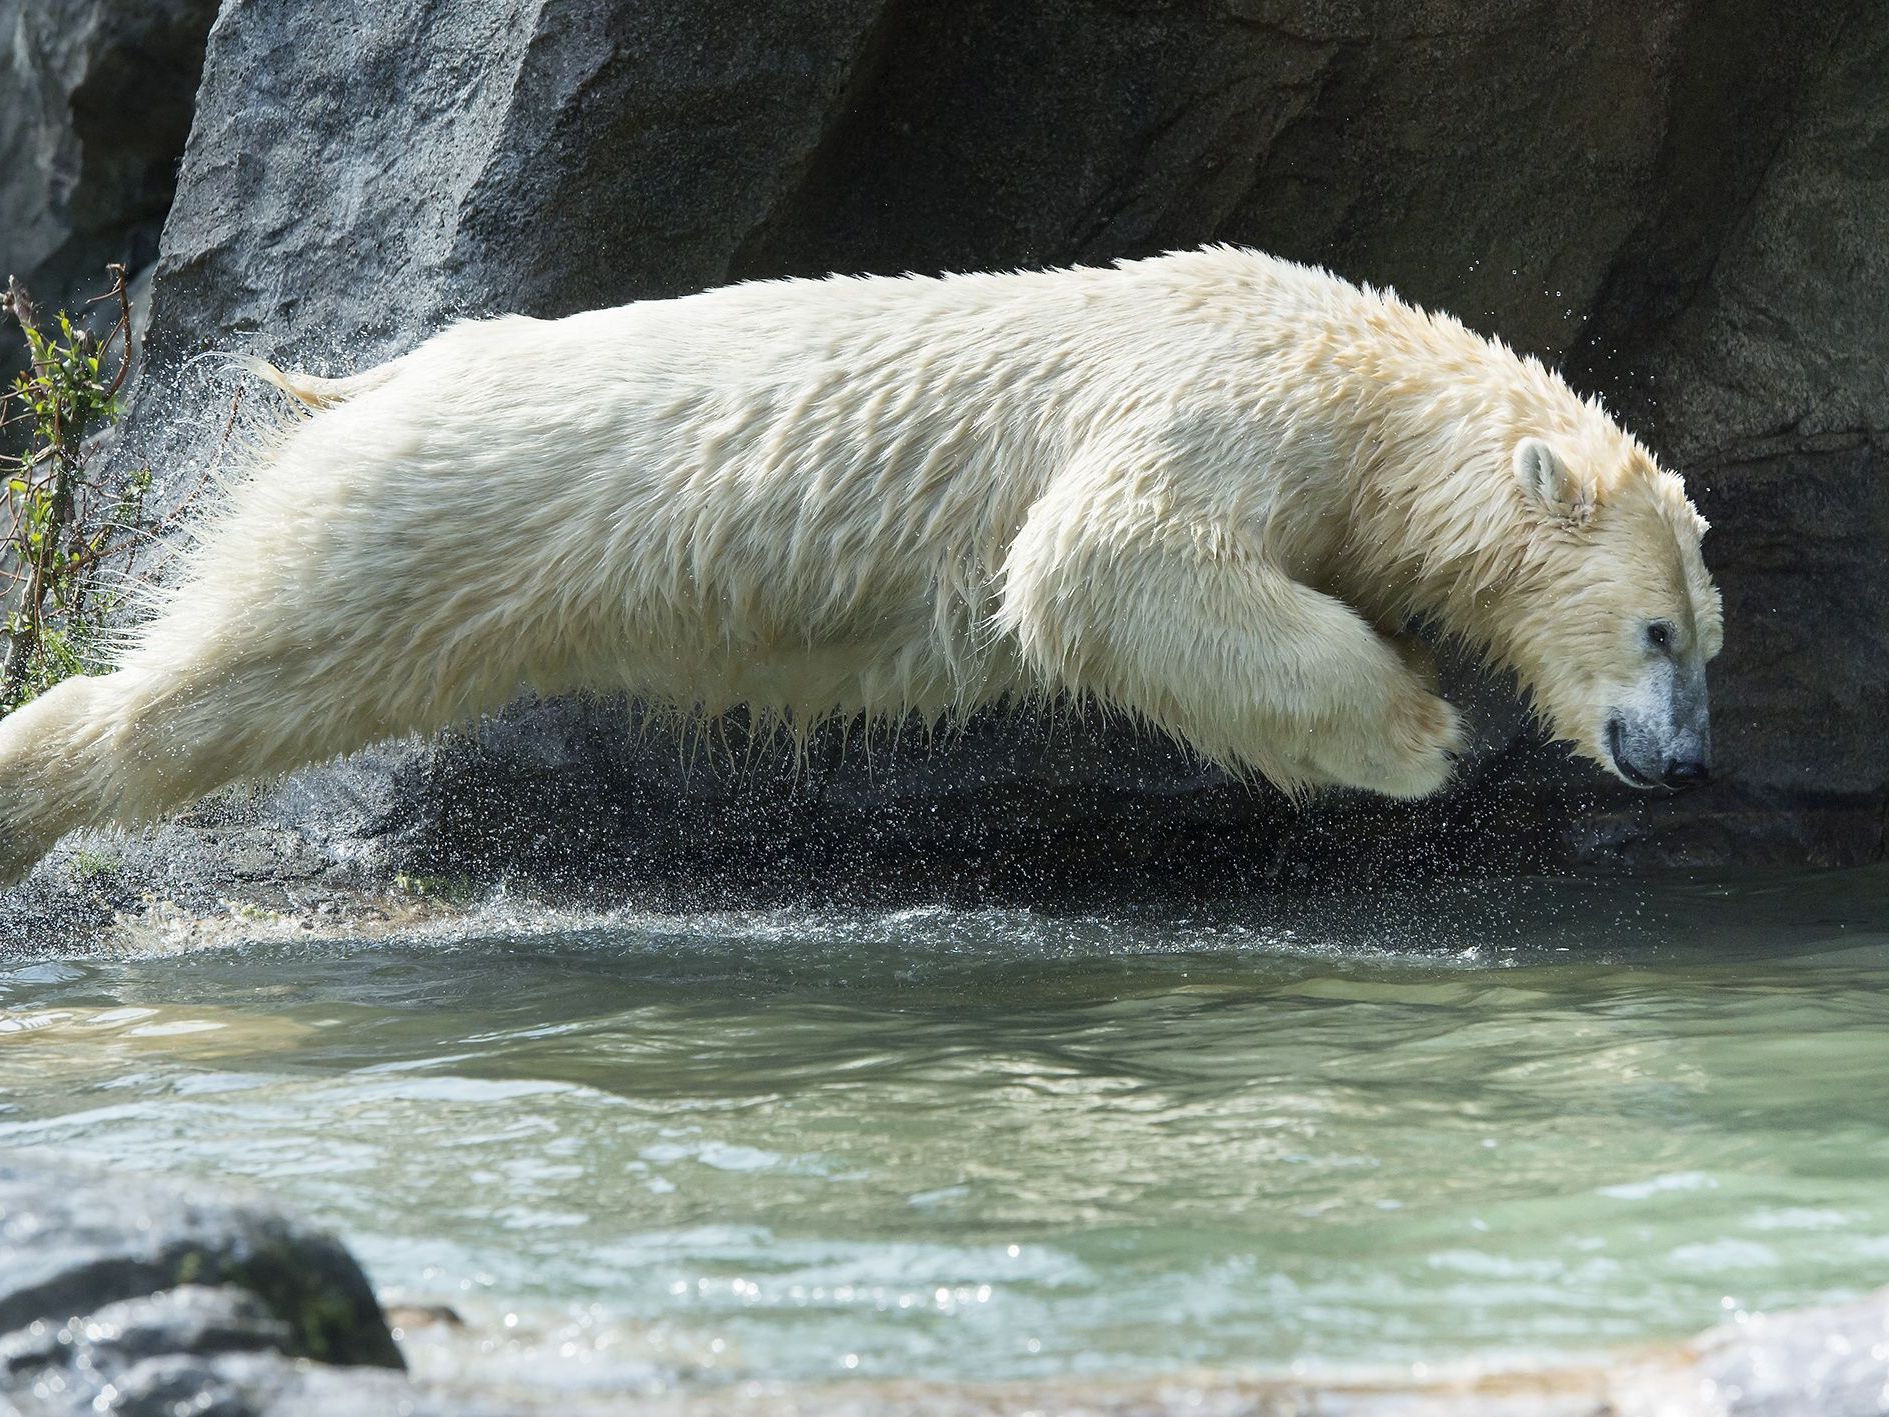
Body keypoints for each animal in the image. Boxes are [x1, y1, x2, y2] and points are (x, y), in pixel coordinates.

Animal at [0, 247, 1722, 887]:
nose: (1686, 762)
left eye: (1708, 638)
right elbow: (1099, 558)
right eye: (1656, 631)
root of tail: (387, 377)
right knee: (246, 669)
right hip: (431, 516)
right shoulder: (1224, 401)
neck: (1364, 382)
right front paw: (1421, 729)